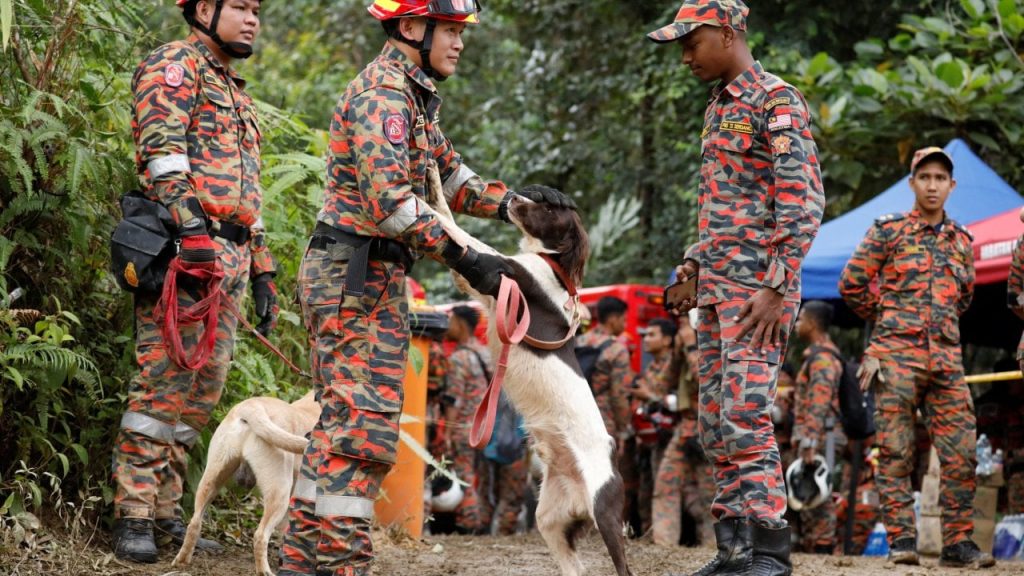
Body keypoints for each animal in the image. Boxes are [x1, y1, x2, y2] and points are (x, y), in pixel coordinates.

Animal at [171, 387, 319, 573]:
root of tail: (250, 406)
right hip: (279, 491)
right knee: (260, 536)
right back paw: (265, 571)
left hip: (210, 480)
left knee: (194, 523)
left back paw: (182, 561)